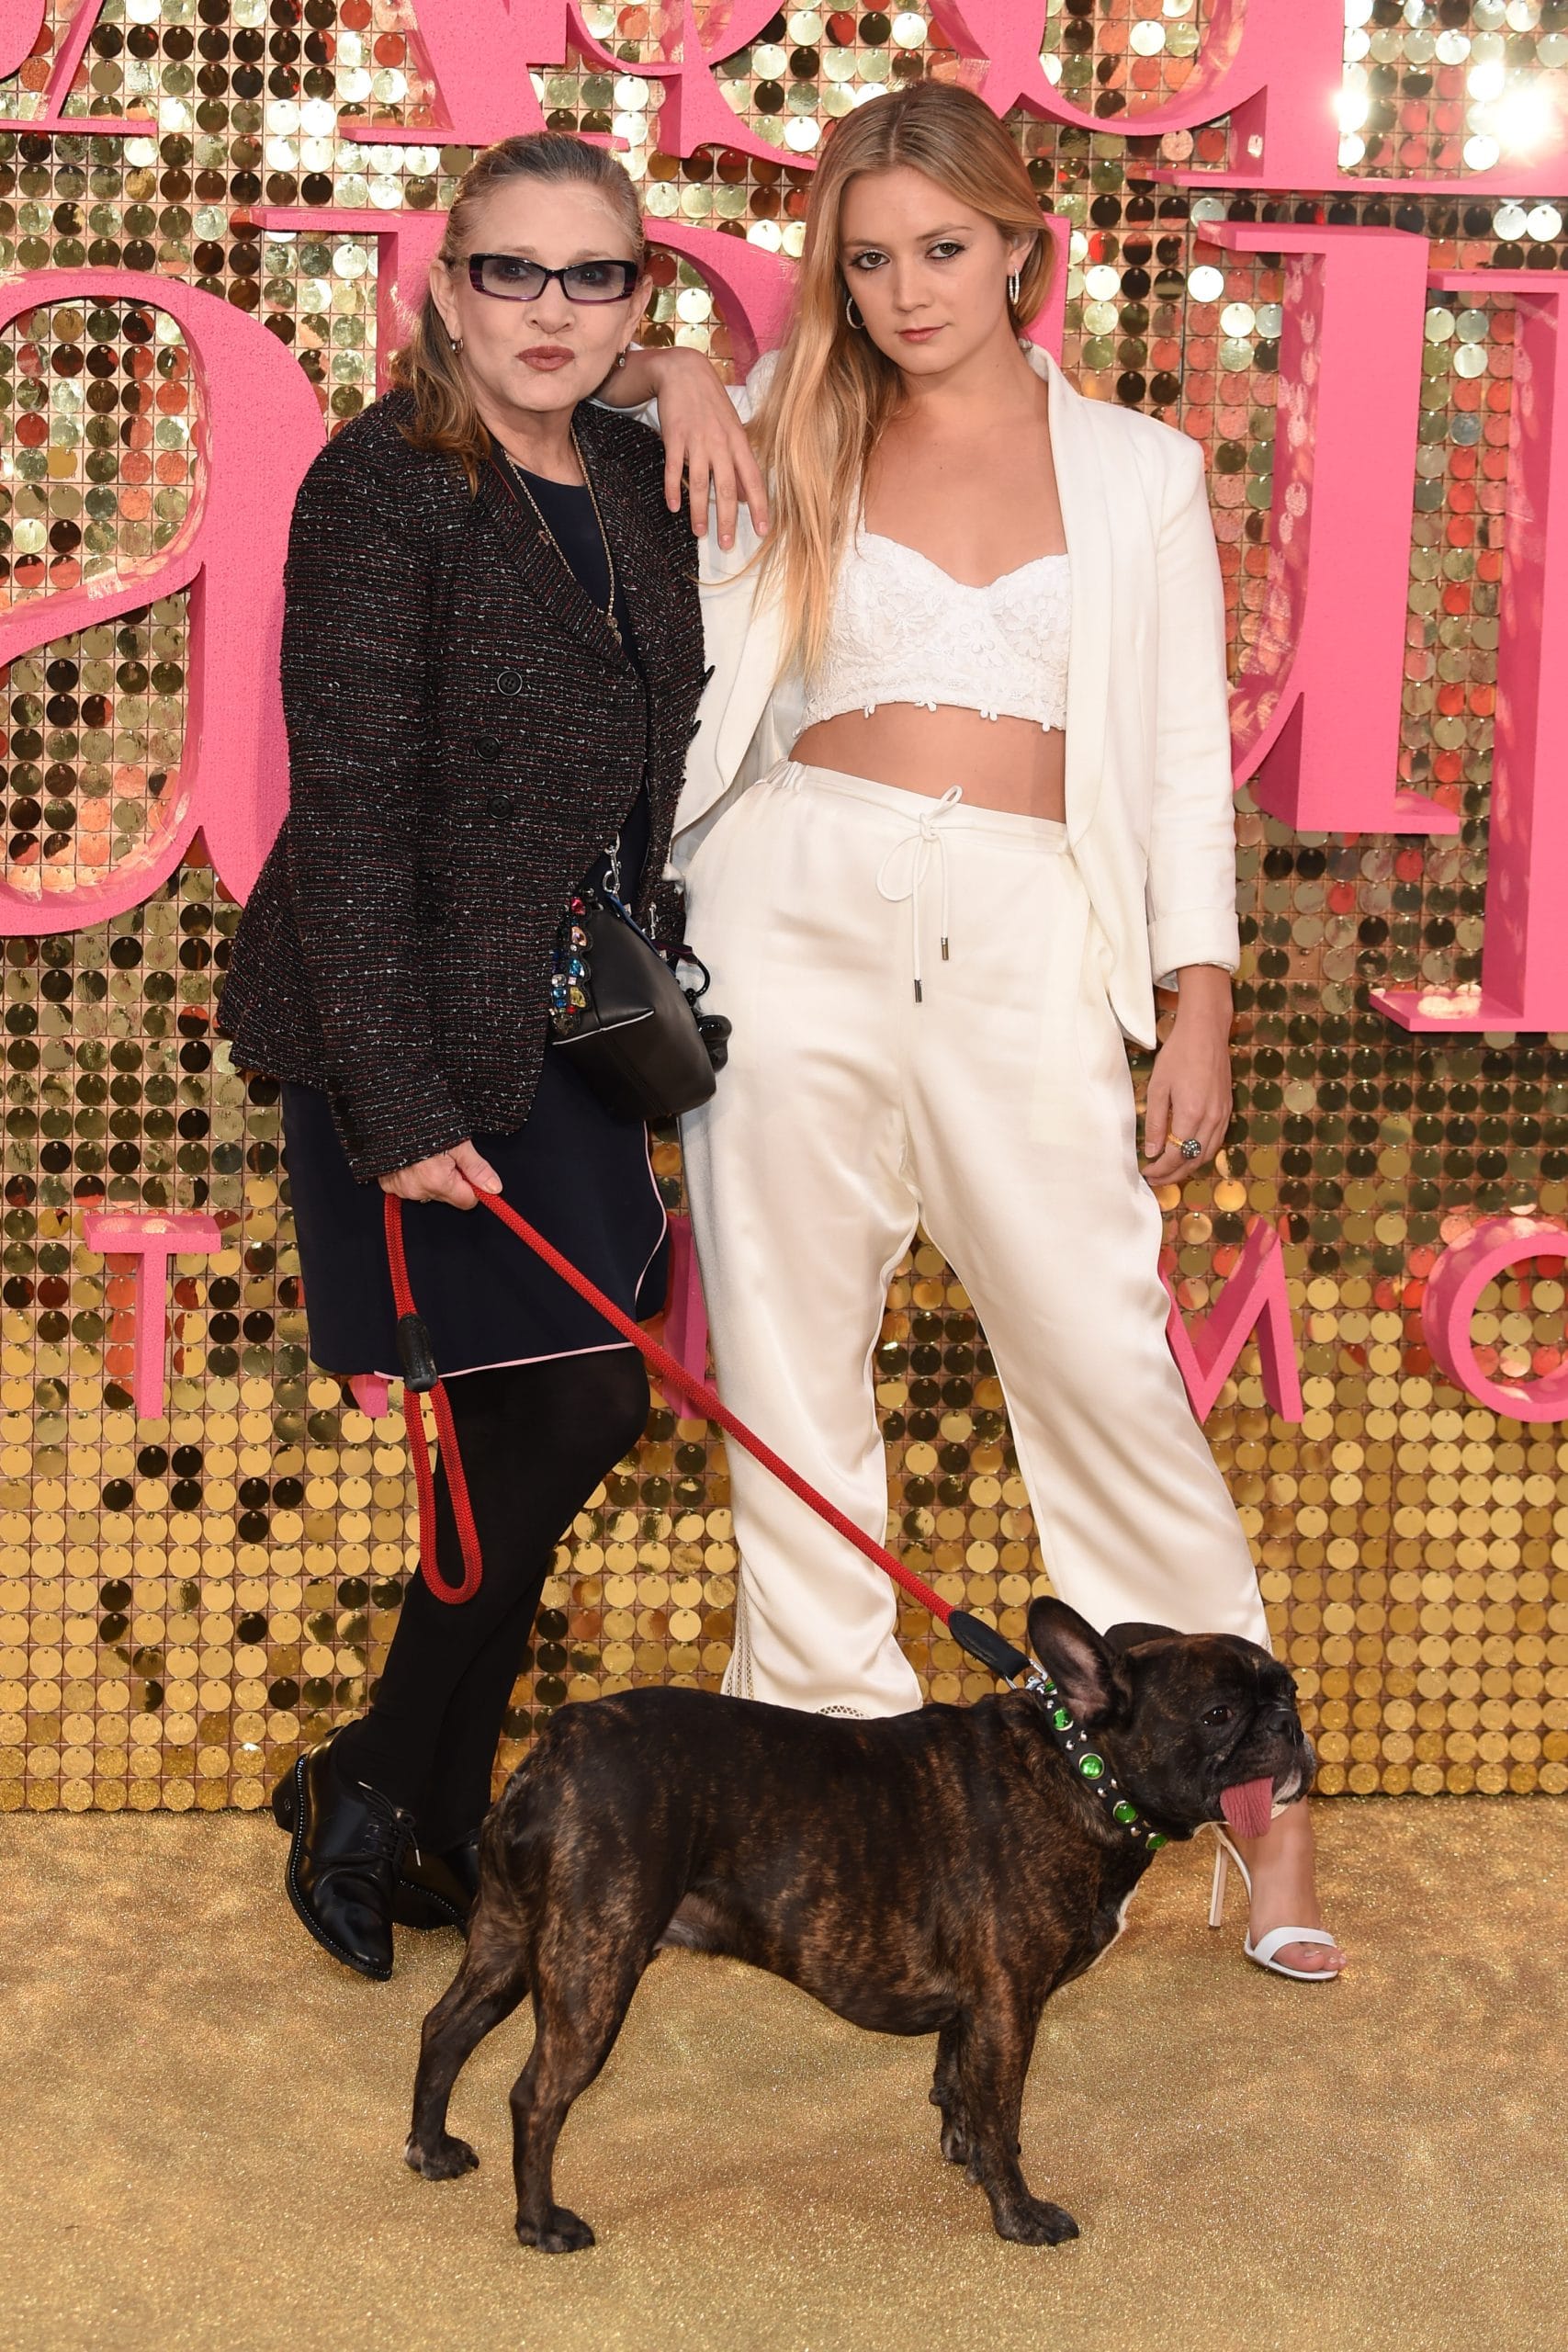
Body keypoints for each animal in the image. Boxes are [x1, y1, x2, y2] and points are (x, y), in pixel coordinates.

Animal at [401, 1599, 1316, 2239]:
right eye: (1218, 1716)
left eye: (1291, 1690)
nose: (1288, 1725)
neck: (1078, 1766)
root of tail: (549, 1749)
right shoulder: (1007, 2006)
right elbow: (1004, 2112)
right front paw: (1018, 2215)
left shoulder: (974, 2009)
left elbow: (960, 2089)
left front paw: (966, 2158)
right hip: (593, 1965)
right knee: (536, 2093)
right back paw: (540, 2226)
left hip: (509, 1940)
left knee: (445, 2027)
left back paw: (430, 2150)